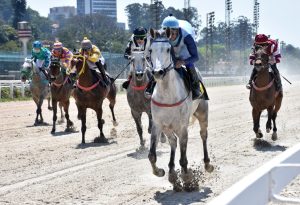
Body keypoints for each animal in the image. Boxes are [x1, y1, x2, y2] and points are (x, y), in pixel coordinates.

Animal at [147, 28, 213, 191]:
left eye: (168, 49)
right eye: (151, 50)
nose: (158, 72)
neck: (167, 94)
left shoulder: (183, 126)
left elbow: (183, 157)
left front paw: (187, 179)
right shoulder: (158, 125)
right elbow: (151, 155)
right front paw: (160, 171)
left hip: (203, 113)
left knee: (203, 135)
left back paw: (207, 164)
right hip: (168, 127)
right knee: (173, 142)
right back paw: (171, 173)